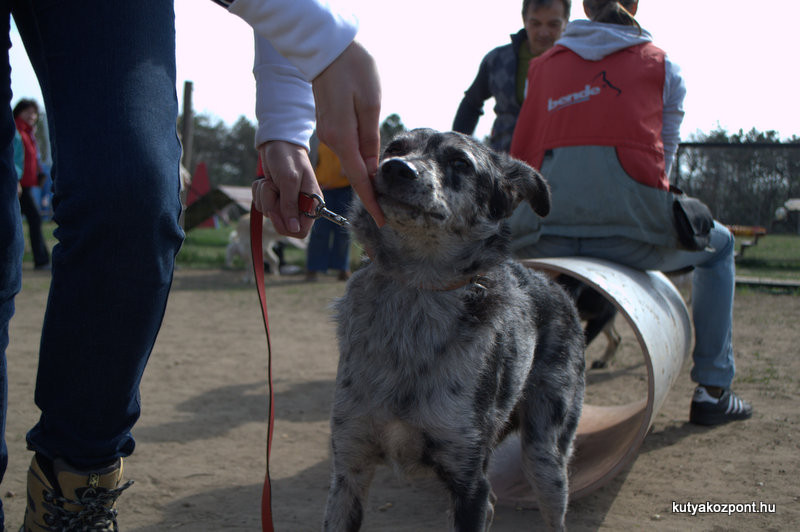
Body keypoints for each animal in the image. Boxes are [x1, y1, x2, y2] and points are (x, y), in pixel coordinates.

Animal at [326, 129, 588, 532]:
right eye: (394, 148)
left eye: (461, 163)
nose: (396, 169)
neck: (416, 293)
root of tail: (559, 290)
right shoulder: (348, 472)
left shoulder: (469, 483)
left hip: (546, 457)